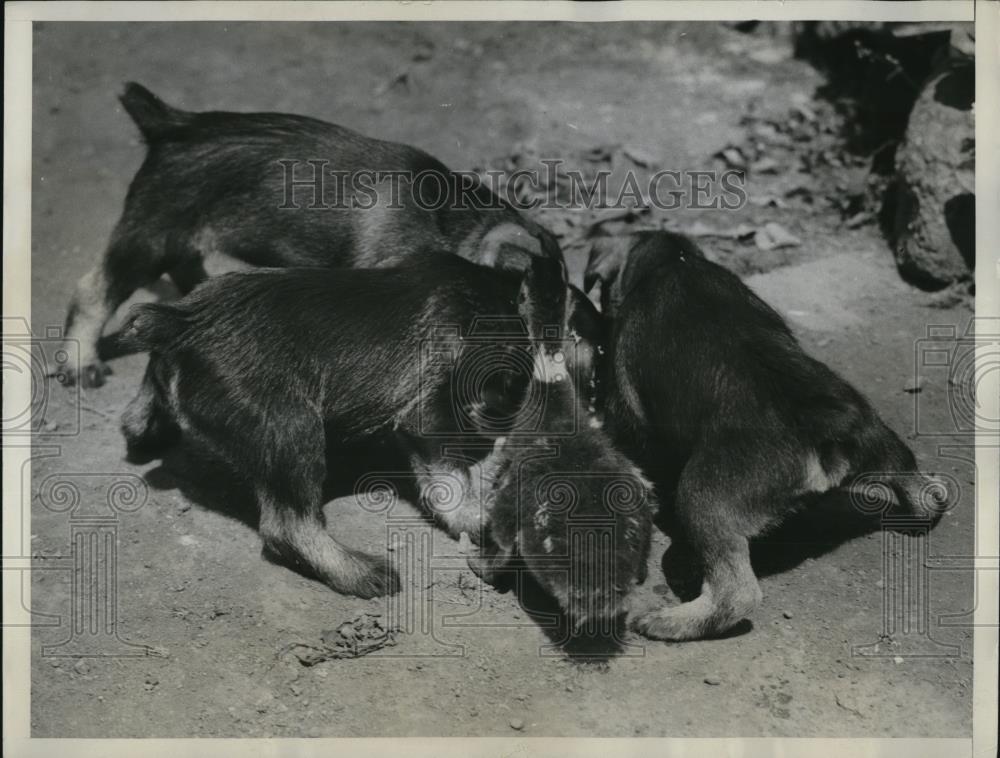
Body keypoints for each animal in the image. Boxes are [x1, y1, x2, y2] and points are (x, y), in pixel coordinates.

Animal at [58, 86, 564, 388]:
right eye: (524, 314)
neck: (452, 224)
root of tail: (170, 126)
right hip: (149, 235)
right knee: (93, 290)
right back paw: (81, 363)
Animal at [116, 255, 588, 600]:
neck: (501, 301)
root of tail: (179, 324)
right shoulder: (431, 410)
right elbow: (450, 478)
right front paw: (477, 515)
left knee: (136, 414)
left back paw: (147, 429)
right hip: (292, 428)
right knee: (289, 526)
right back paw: (360, 572)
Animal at [584, 230, 948, 640]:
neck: (674, 259)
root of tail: (824, 431)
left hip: (703, 499)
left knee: (736, 593)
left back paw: (669, 622)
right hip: (886, 446)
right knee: (923, 493)